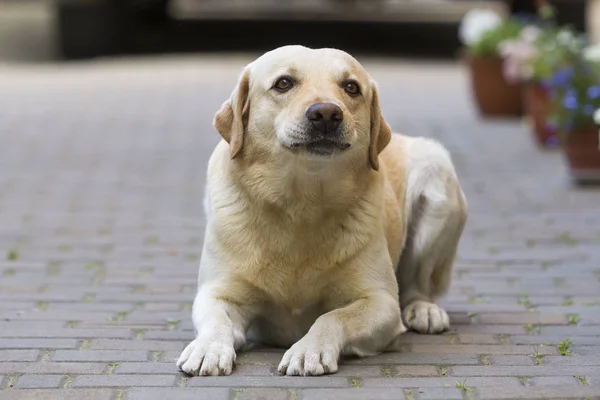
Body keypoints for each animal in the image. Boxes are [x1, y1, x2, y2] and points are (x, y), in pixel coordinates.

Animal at [176, 45, 466, 376]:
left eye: (351, 87)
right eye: (284, 83)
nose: (326, 113)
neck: (301, 200)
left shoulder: (381, 303)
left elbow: (332, 317)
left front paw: (308, 350)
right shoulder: (217, 293)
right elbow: (217, 320)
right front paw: (208, 348)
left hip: (436, 173)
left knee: (419, 284)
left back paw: (424, 310)